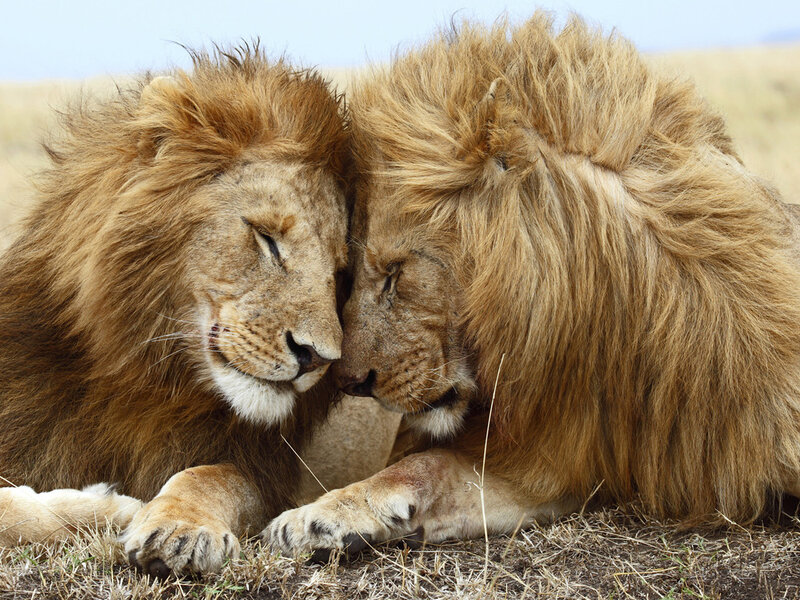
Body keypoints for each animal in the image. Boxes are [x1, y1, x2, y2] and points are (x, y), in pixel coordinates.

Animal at [0, 47, 352, 575]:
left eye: (339, 272)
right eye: (267, 238)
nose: (318, 358)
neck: (147, 377)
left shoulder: (258, 465)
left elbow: (211, 476)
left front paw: (180, 529)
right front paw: (108, 507)